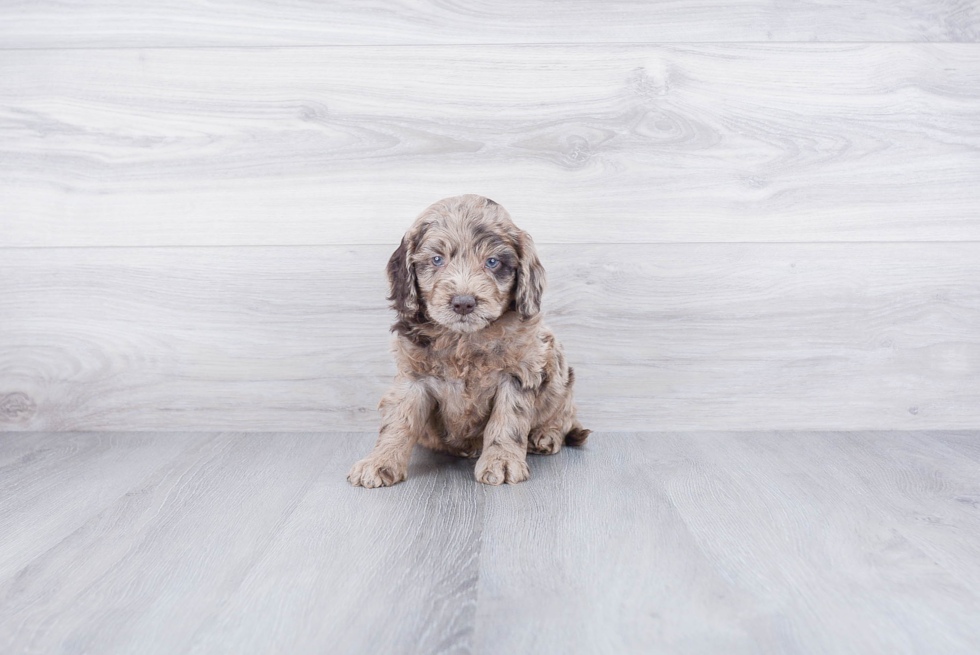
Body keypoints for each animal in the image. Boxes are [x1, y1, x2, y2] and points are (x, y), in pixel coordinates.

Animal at [348, 195, 584, 486]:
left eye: (492, 262)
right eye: (437, 259)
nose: (463, 302)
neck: (463, 340)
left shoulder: (518, 372)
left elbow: (508, 419)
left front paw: (502, 460)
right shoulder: (413, 376)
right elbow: (398, 420)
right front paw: (380, 461)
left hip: (559, 374)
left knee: (565, 417)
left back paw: (545, 435)